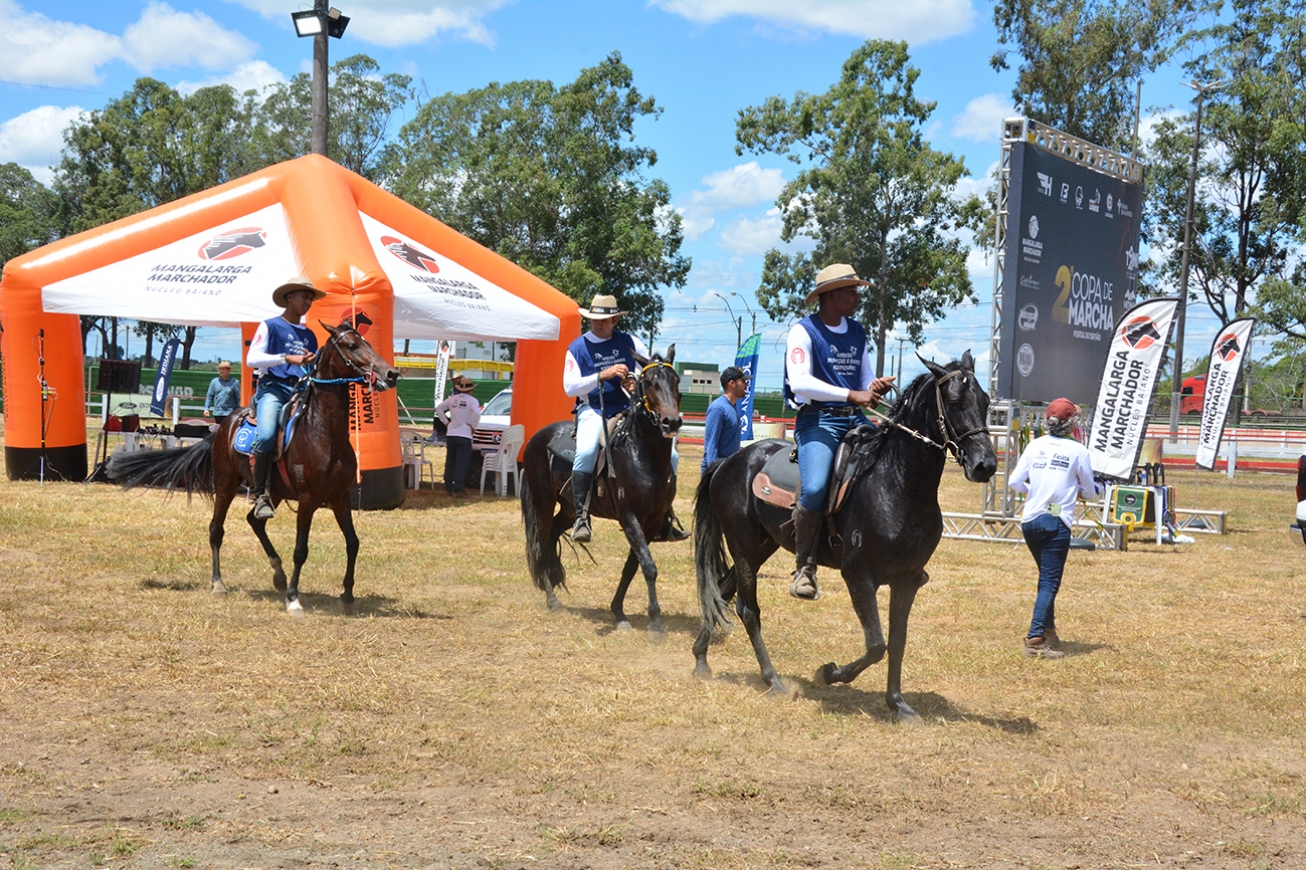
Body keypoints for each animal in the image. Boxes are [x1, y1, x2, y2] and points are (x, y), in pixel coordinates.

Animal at [107, 321, 397, 613]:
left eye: (368, 343)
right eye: (352, 345)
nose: (391, 373)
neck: (323, 432)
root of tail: (224, 424)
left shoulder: (340, 497)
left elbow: (353, 542)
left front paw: (347, 594)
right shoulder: (308, 499)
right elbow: (301, 550)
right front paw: (293, 598)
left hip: (272, 492)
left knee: (254, 521)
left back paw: (278, 575)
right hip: (226, 484)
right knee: (216, 530)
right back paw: (219, 584)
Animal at [519, 344, 684, 629]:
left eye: (676, 381)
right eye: (650, 382)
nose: (671, 422)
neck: (642, 453)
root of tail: (536, 439)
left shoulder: (651, 521)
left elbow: (633, 566)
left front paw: (618, 612)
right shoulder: (629, 517)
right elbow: (648, 566)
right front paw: (655, 622)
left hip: (569, 509)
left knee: (552, 539)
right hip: (543, 504)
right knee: (540, 546)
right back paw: (553, 602)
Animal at [700, 352, 992, 715]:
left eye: (987, 401)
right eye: (953, 402)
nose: (986, 465)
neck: (897, 482)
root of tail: (728, 462)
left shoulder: (907, 580)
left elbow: (897, 640)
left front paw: (898, 704)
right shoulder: (858, 576)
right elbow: (876, 644)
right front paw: (829, 673)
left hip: (762, 545)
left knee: (721, 590)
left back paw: (700, 659)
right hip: (741, 543)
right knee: (747, 609)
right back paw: (773, 680)